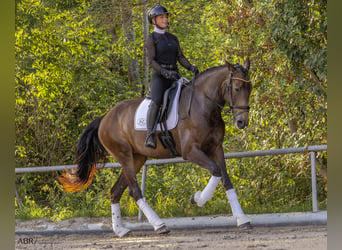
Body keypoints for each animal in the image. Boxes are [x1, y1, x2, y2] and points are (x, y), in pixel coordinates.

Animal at [58, 57, 252, 237]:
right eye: (236, 88)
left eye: (249, 88)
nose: (242, 122)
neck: (203, 105)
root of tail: (105, 118)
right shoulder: (190, 151)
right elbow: (216, 171)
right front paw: (197, 199)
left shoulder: (216, 148)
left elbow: (225, 179)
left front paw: (242, 219)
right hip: (124, 156)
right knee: (135, 191)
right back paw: (159, 225)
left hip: (137, 158)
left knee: (116, 191)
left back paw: (121, 230)